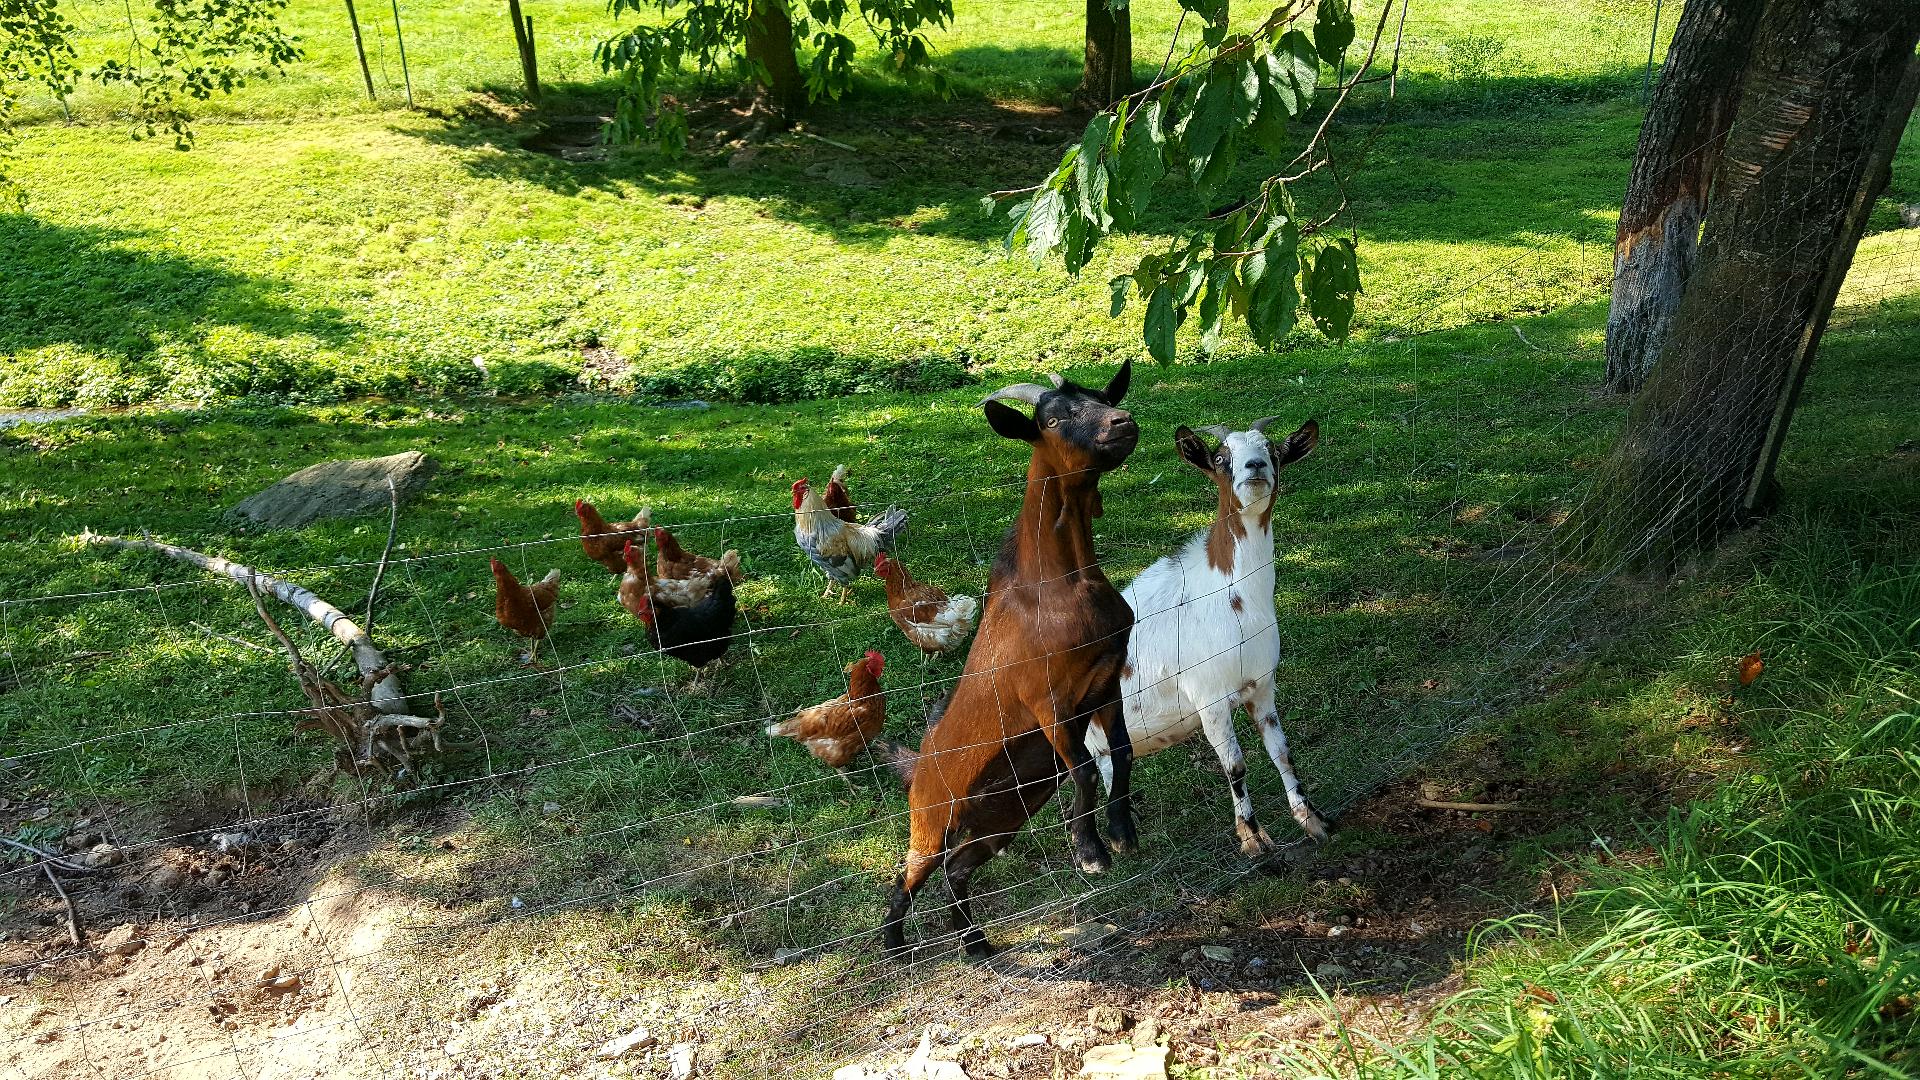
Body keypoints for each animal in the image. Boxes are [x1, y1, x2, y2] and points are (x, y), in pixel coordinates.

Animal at [883, 359, 1136, 949]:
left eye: (1103, 397)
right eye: (1054, 418)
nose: (1123, 423)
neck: (1057, 587)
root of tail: (916, 768)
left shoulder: (1106, 682)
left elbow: (1121, 753)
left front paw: (1122, 834)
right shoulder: (1047, 703)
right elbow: (1086, 769)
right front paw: (1090, 853)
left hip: (1004, 812)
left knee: (958, 869)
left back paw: (973, 942)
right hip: (932, 818)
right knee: (909, 873)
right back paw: (894, 944)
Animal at [1090, 417, 1328, 853]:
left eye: (1272, 451)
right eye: (1220, 458)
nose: (1254, 467)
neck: (1231, 596)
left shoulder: (1262, 686)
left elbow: (1282, 752)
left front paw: (1312, 820)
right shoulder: (1210, 699)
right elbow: (1236, 765)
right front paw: (1253, 838)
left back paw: (1124, 831)